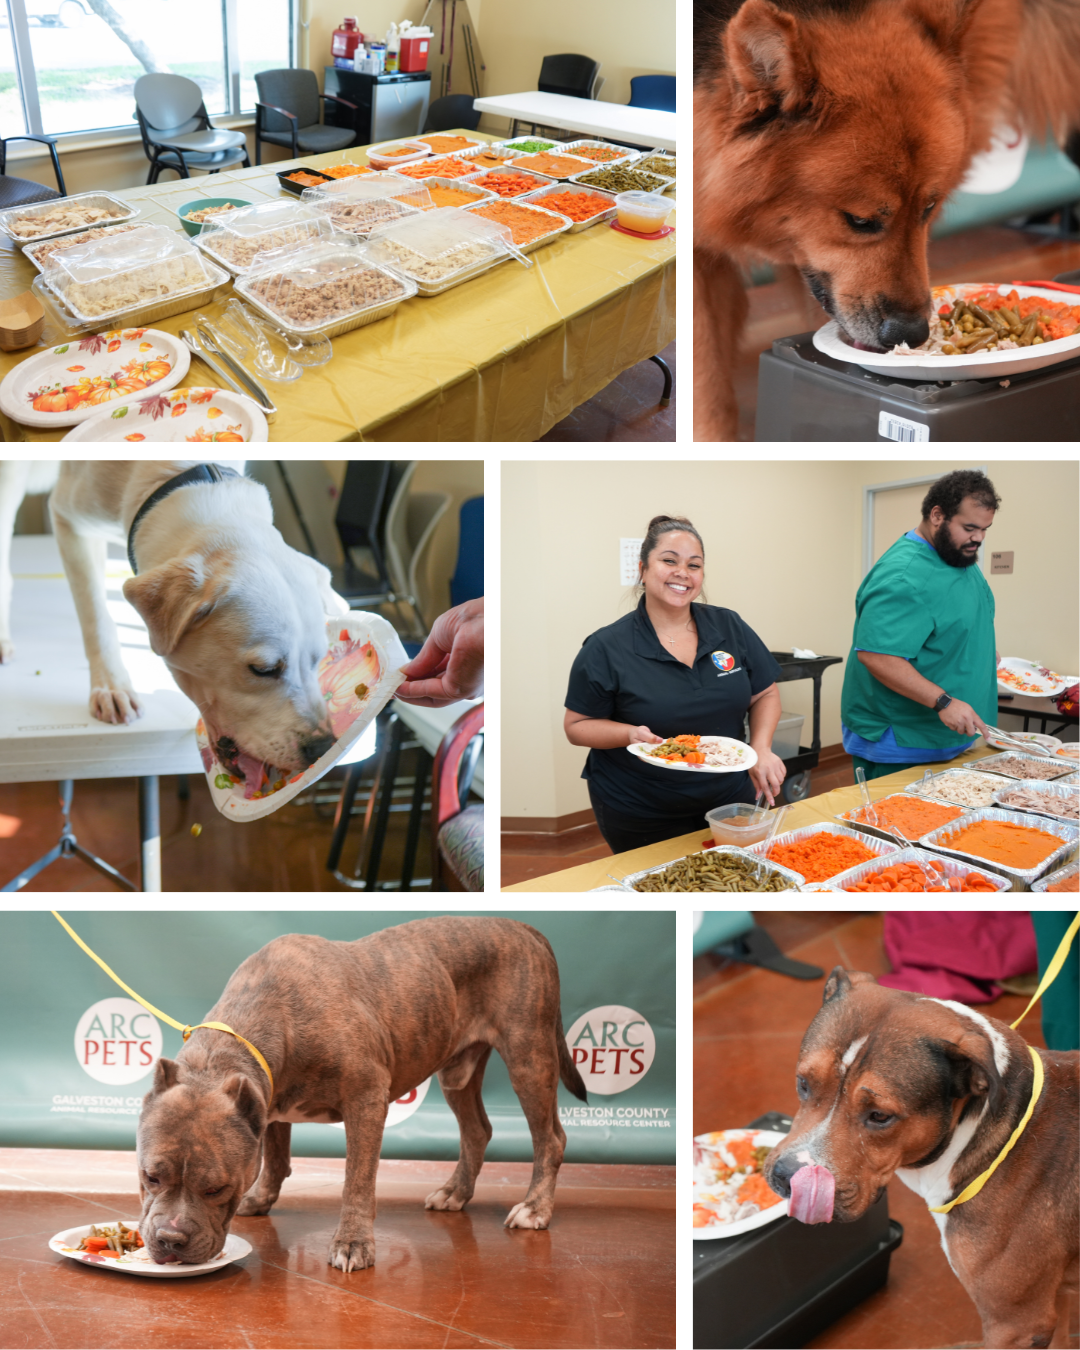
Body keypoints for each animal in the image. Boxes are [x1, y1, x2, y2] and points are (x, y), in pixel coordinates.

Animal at [0, 461, 345, 788]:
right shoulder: (68, 520)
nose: (322, 748)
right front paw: (111, 685)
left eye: (318, 661)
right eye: (263, 670)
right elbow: (94, 611)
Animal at [141, 918, 591, 1274]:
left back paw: (535, 1208)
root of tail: (522, 928)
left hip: (528, 1057)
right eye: (150, 1177)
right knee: (477, 1131)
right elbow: (277, 1155)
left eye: (216, 1189)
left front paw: (353, 1243)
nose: (169, 1240)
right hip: (458, 1074)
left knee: (550, 1137)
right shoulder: (268, 1101)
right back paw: (455, 1193)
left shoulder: (367, 1097)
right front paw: (261, 1197)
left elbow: (356, 1179)